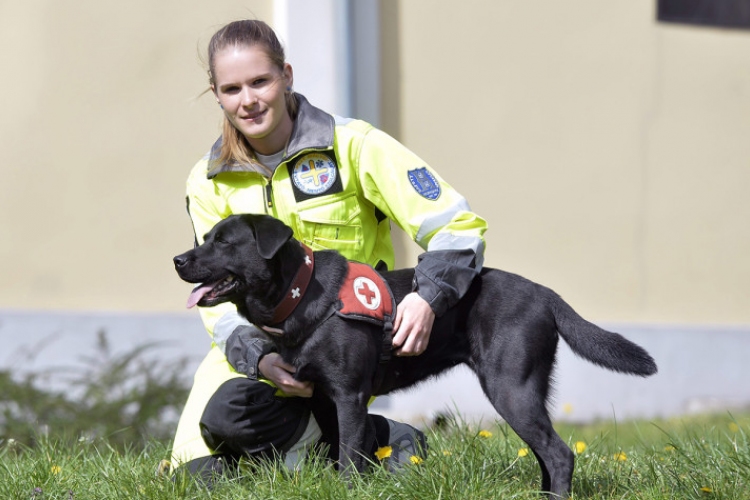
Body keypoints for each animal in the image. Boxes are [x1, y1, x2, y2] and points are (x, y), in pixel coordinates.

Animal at [173, 213, 656, 498]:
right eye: (205, 238)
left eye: (224, 242)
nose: (178, 259)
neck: (300, 293)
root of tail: (546, 293)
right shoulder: (322, 399)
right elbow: (347, 449)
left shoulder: (349, 396)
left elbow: (349, 456)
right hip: (523, 393)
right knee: (547, 452)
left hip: (510, 387)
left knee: (559, 453)